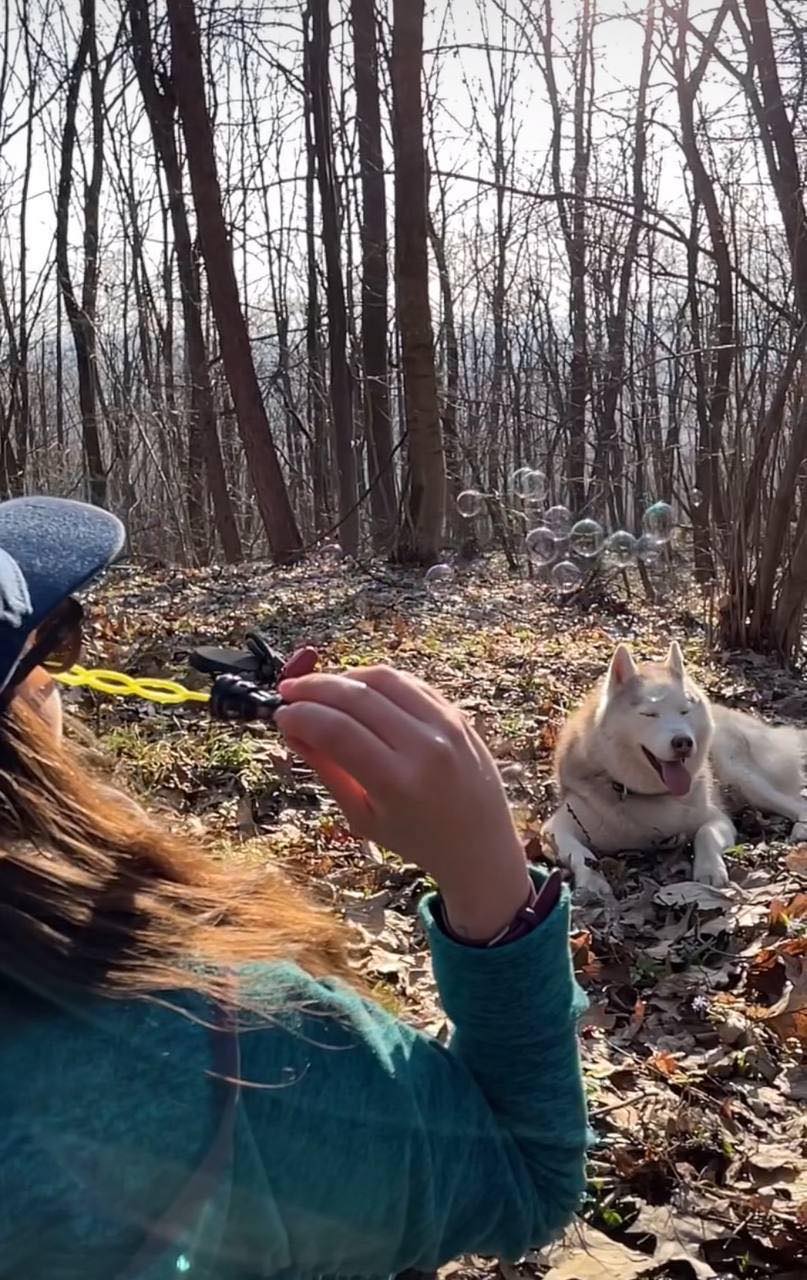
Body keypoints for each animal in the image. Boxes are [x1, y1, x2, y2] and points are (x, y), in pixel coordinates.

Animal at [543, 640, 807, 901]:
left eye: (684, 711)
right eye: (649, 714)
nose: (683, 742)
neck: (643, 795)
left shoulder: (717, 818)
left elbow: (705, 833)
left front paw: (710, 869)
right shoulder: (556, 828)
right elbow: (581, 854)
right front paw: (592, 882)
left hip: (742, 776)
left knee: (796, 802)